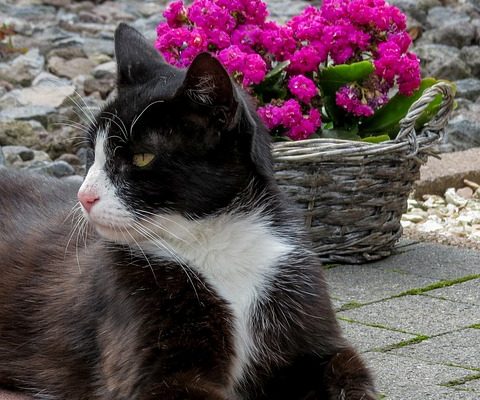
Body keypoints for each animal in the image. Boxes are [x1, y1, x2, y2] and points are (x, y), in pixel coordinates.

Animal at [0, 24, 376, 400]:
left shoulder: (306, 319)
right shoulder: (158, 370)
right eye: (91, 153)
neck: (215, 242)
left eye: (142, 157)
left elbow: (346, 373)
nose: (84, 196)